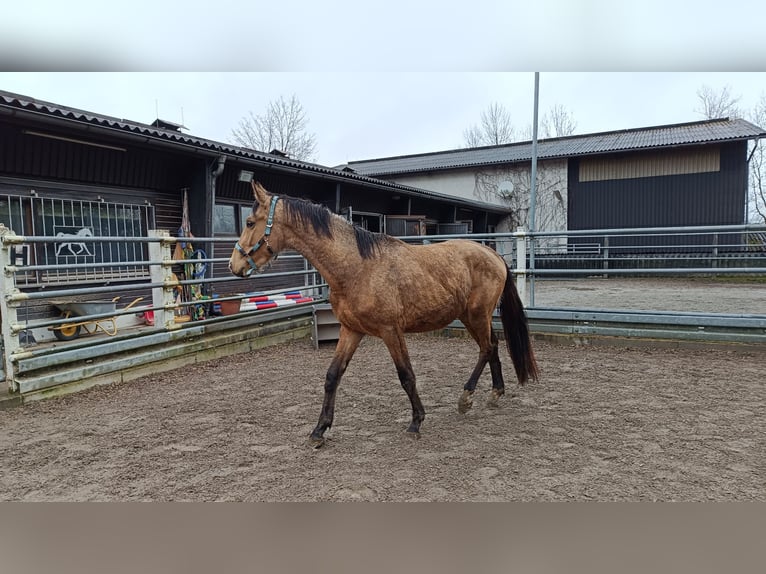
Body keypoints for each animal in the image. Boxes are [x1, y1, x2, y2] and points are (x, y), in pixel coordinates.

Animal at [230, 182, 540, 448]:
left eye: (250, 222)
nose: (234, 265)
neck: (356, 267)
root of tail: (494, 255)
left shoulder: (391, 331)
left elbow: (406, 376)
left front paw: (416, 422)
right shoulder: (351, 330)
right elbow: (332, 376)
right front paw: (319, 431)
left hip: (476, 315)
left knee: (487, 348)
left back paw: (466, 398)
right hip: (473, 317)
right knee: (493, 347)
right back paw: (495, 393)